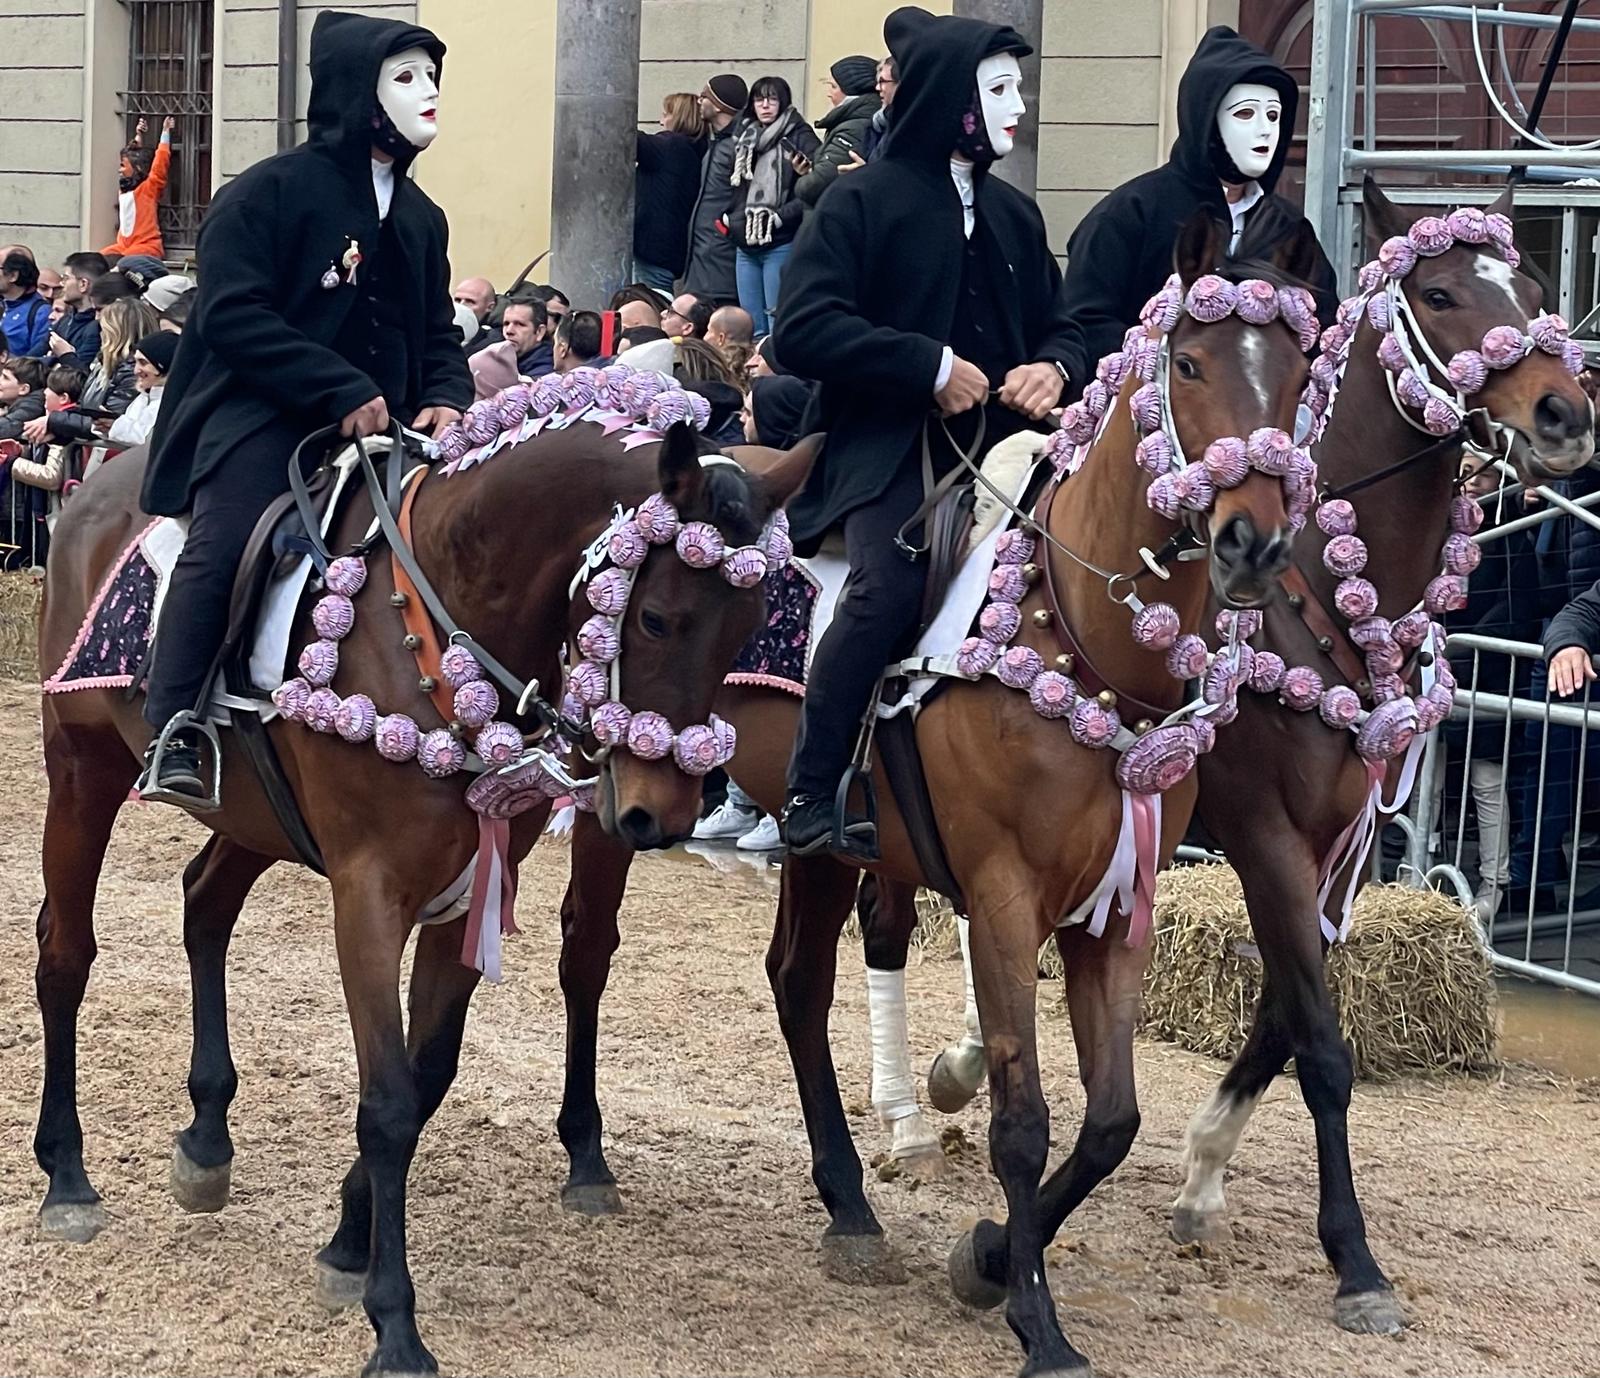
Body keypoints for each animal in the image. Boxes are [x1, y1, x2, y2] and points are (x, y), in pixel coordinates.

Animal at [32, 419, 819, 1376]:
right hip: (81, 769)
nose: (657, 815)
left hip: (254, 816)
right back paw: (68, 1177)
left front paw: (347, 1242)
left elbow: (428, 1074)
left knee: (203, 904)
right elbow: (389, 1101)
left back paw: (206, 1138)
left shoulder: (466, 890)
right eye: (657, 616)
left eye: (752, 628)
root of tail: (101, 479)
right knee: (65, 953)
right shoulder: (369, 897)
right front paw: (394, 1322)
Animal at [883, 177, 1593, 1337]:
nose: (1563, 417)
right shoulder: (1264, 834)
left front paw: (1203, 1175)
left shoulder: (1341, 850)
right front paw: (1353, 1261)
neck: (1328, 594)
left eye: (1533, 288)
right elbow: (1316, 1038)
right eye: (1442, 292)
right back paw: (921, 1096)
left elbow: (1279, 1021)